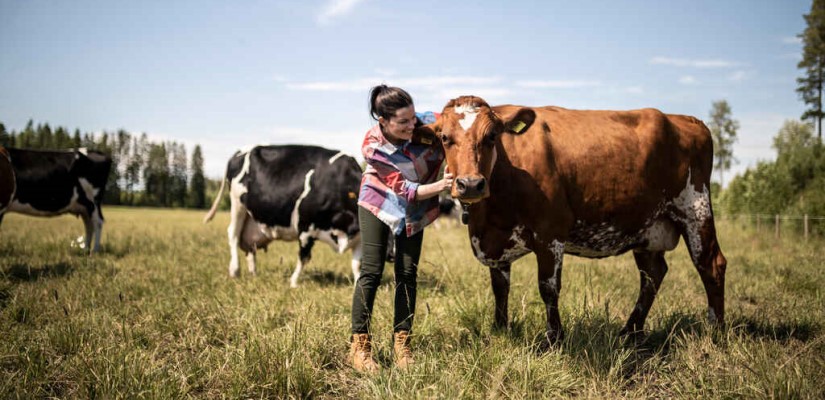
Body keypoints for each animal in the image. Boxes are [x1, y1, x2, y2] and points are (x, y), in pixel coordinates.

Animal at [203, 144, 360, 288]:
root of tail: (240, 151)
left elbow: (357, 265)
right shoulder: (305, 227)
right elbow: (304, 257)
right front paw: (293, 283)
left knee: (250, 245)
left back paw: (253, 273)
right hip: (237, 204)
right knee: (233, 234)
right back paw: (235, 270)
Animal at [418, 96, 728, 344]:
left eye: (492, 136)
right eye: (444, 138)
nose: (471, 184)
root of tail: (687, 120)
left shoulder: (550, 234)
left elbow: (548, 288)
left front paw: (554, 339)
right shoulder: (496, 241)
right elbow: (500, 287)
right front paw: (500, 331)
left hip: (695, 208)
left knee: (711, 265)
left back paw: (715, 331)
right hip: (647, 227)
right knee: (652, 274)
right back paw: (630, 332)